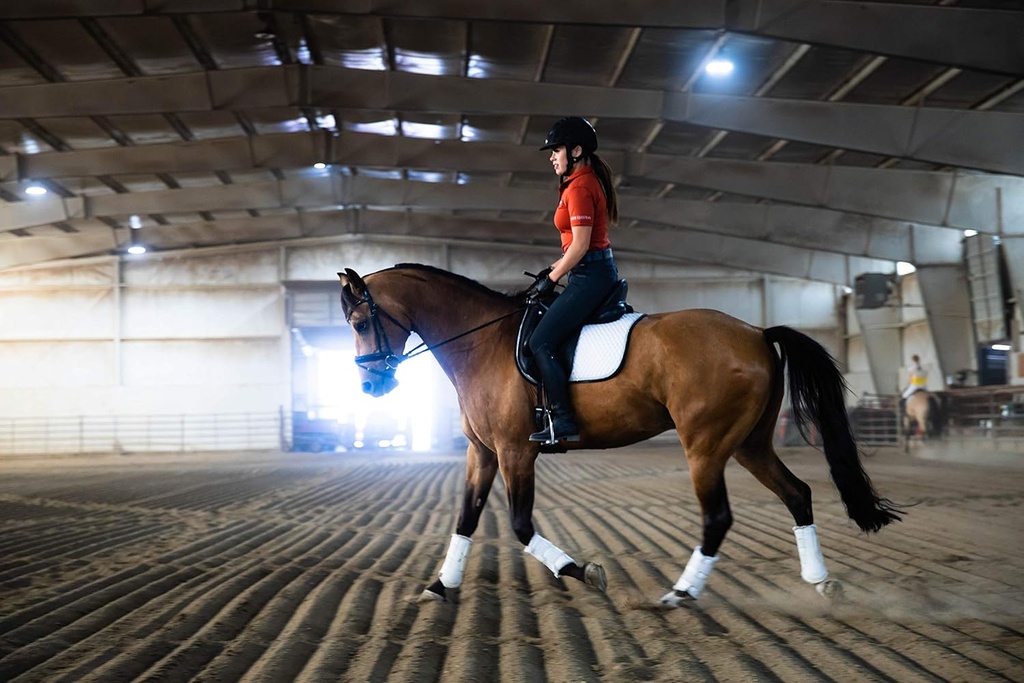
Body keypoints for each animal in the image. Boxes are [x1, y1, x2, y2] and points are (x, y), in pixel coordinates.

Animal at [338, 263, 903, 607]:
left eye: (362, 322)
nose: (369, 386)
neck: (482, 342)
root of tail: (757, 333)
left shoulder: (516, 452)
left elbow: (519, 525)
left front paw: (583, 571)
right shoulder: (483, 452)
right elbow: (466, 518)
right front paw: (439, 587)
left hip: (706, 447)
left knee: (719, 517)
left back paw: (679, 595)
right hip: (749, 445)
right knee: (797, 494)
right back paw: (820, 581)